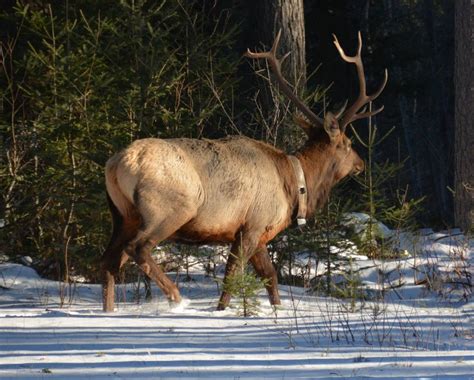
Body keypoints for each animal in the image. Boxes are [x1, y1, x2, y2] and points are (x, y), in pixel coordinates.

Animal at [102, 31, 386, 312]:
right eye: (347, 143)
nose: (361, 164)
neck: (294, 186)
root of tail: (116, 164)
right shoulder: (252, 224)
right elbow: (233, 275)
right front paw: (221, 310)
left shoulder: (259, 234)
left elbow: (270, 276)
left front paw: (276, 311)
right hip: (170, 207)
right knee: (138, 248)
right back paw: (177, 297)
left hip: (123, 215)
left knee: (110, 258)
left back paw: (109, 310)